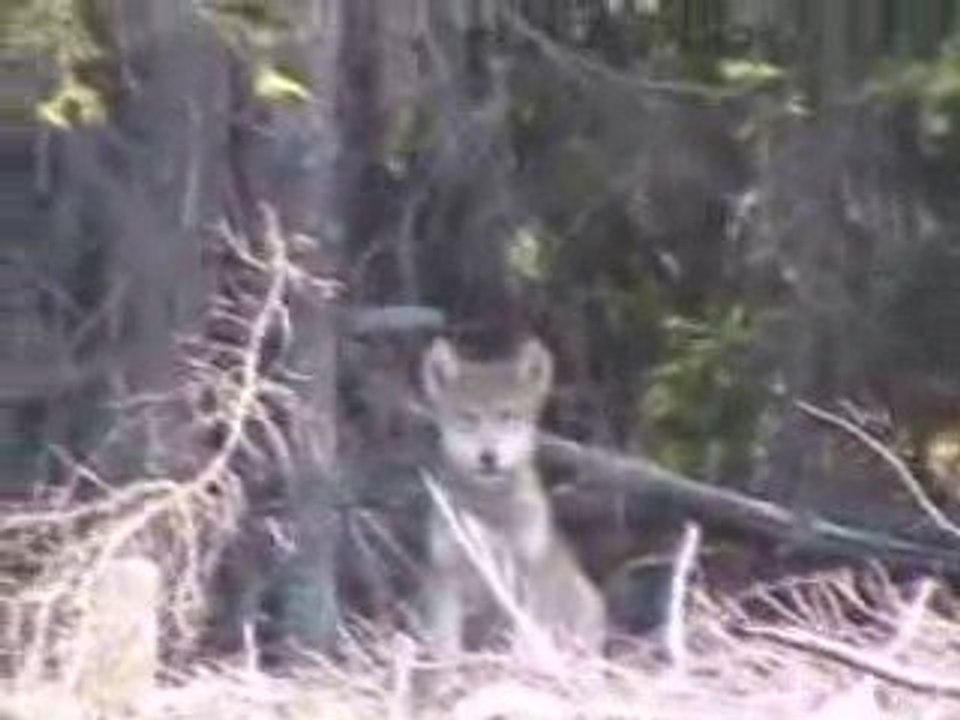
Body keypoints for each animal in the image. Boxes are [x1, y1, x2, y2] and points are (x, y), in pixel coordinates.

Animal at [419, 336, 605, 657]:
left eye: (508, 416)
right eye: (467, 418)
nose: (488, 457)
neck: (489, 508)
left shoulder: (527, 576)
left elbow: (523, 643)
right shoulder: (447, 574)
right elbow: (446, 645)